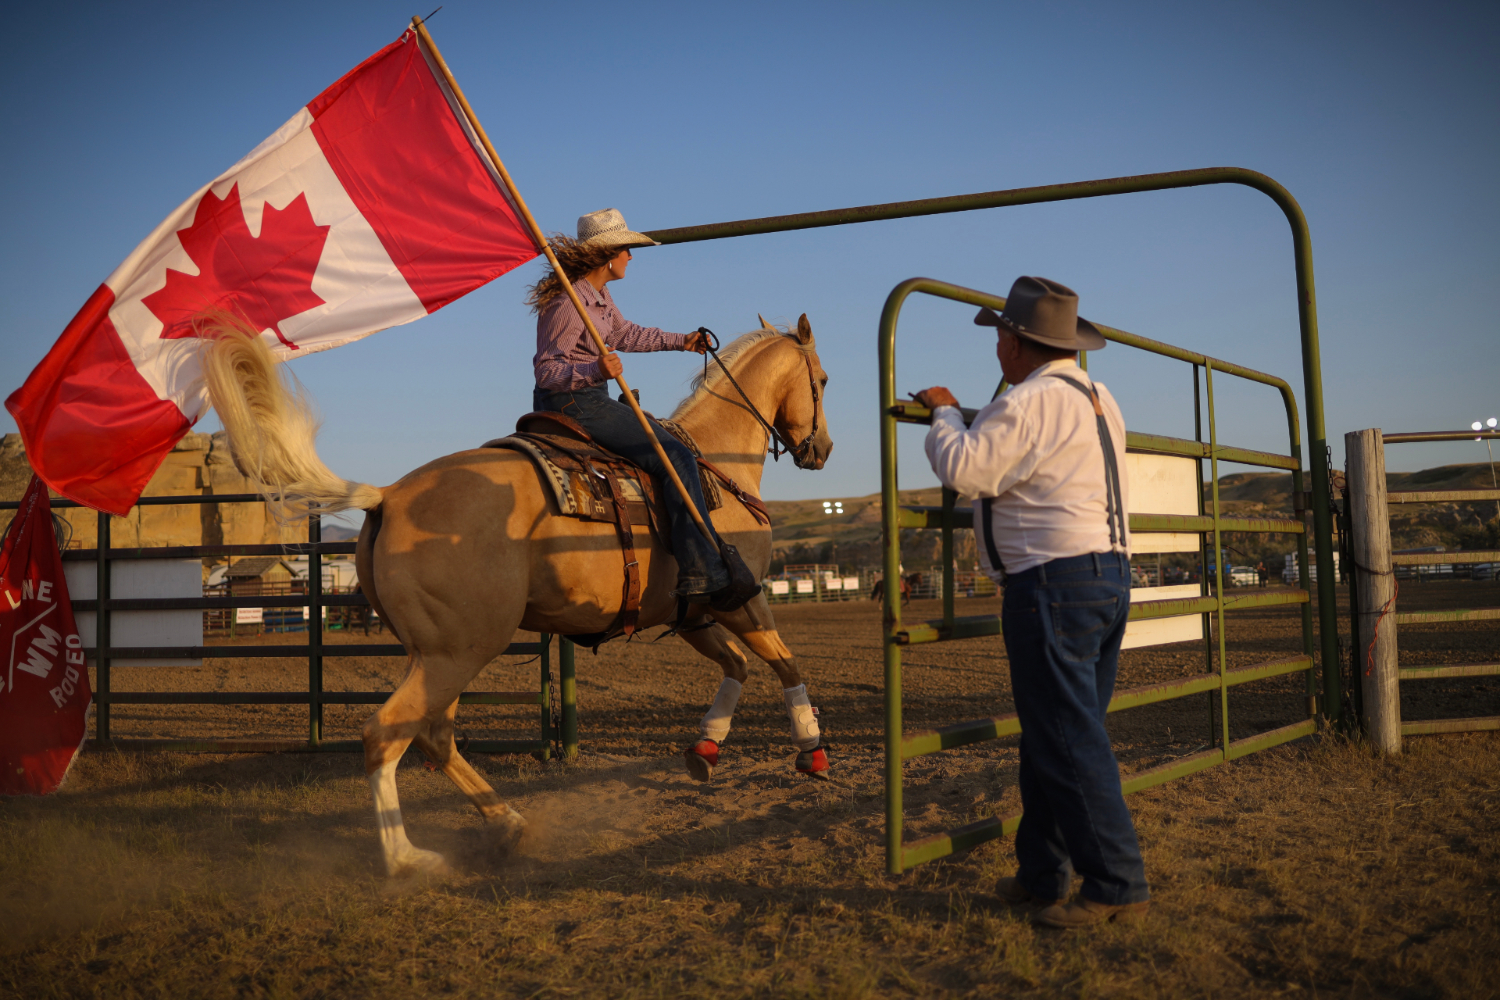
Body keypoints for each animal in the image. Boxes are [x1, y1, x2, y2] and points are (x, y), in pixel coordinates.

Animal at [202, 314, 834, 875]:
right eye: (823, 379)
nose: (821, 449)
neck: (712, 462)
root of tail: (387, 495)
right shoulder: (743, 597)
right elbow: (785, 664)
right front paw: (811, 750)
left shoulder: (693, 612)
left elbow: (737, 667)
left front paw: (706, 749)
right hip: (458, 652)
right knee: (387, 734)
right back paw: (409, 860)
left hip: (432, 654)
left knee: (433, 735)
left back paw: (508, 824)